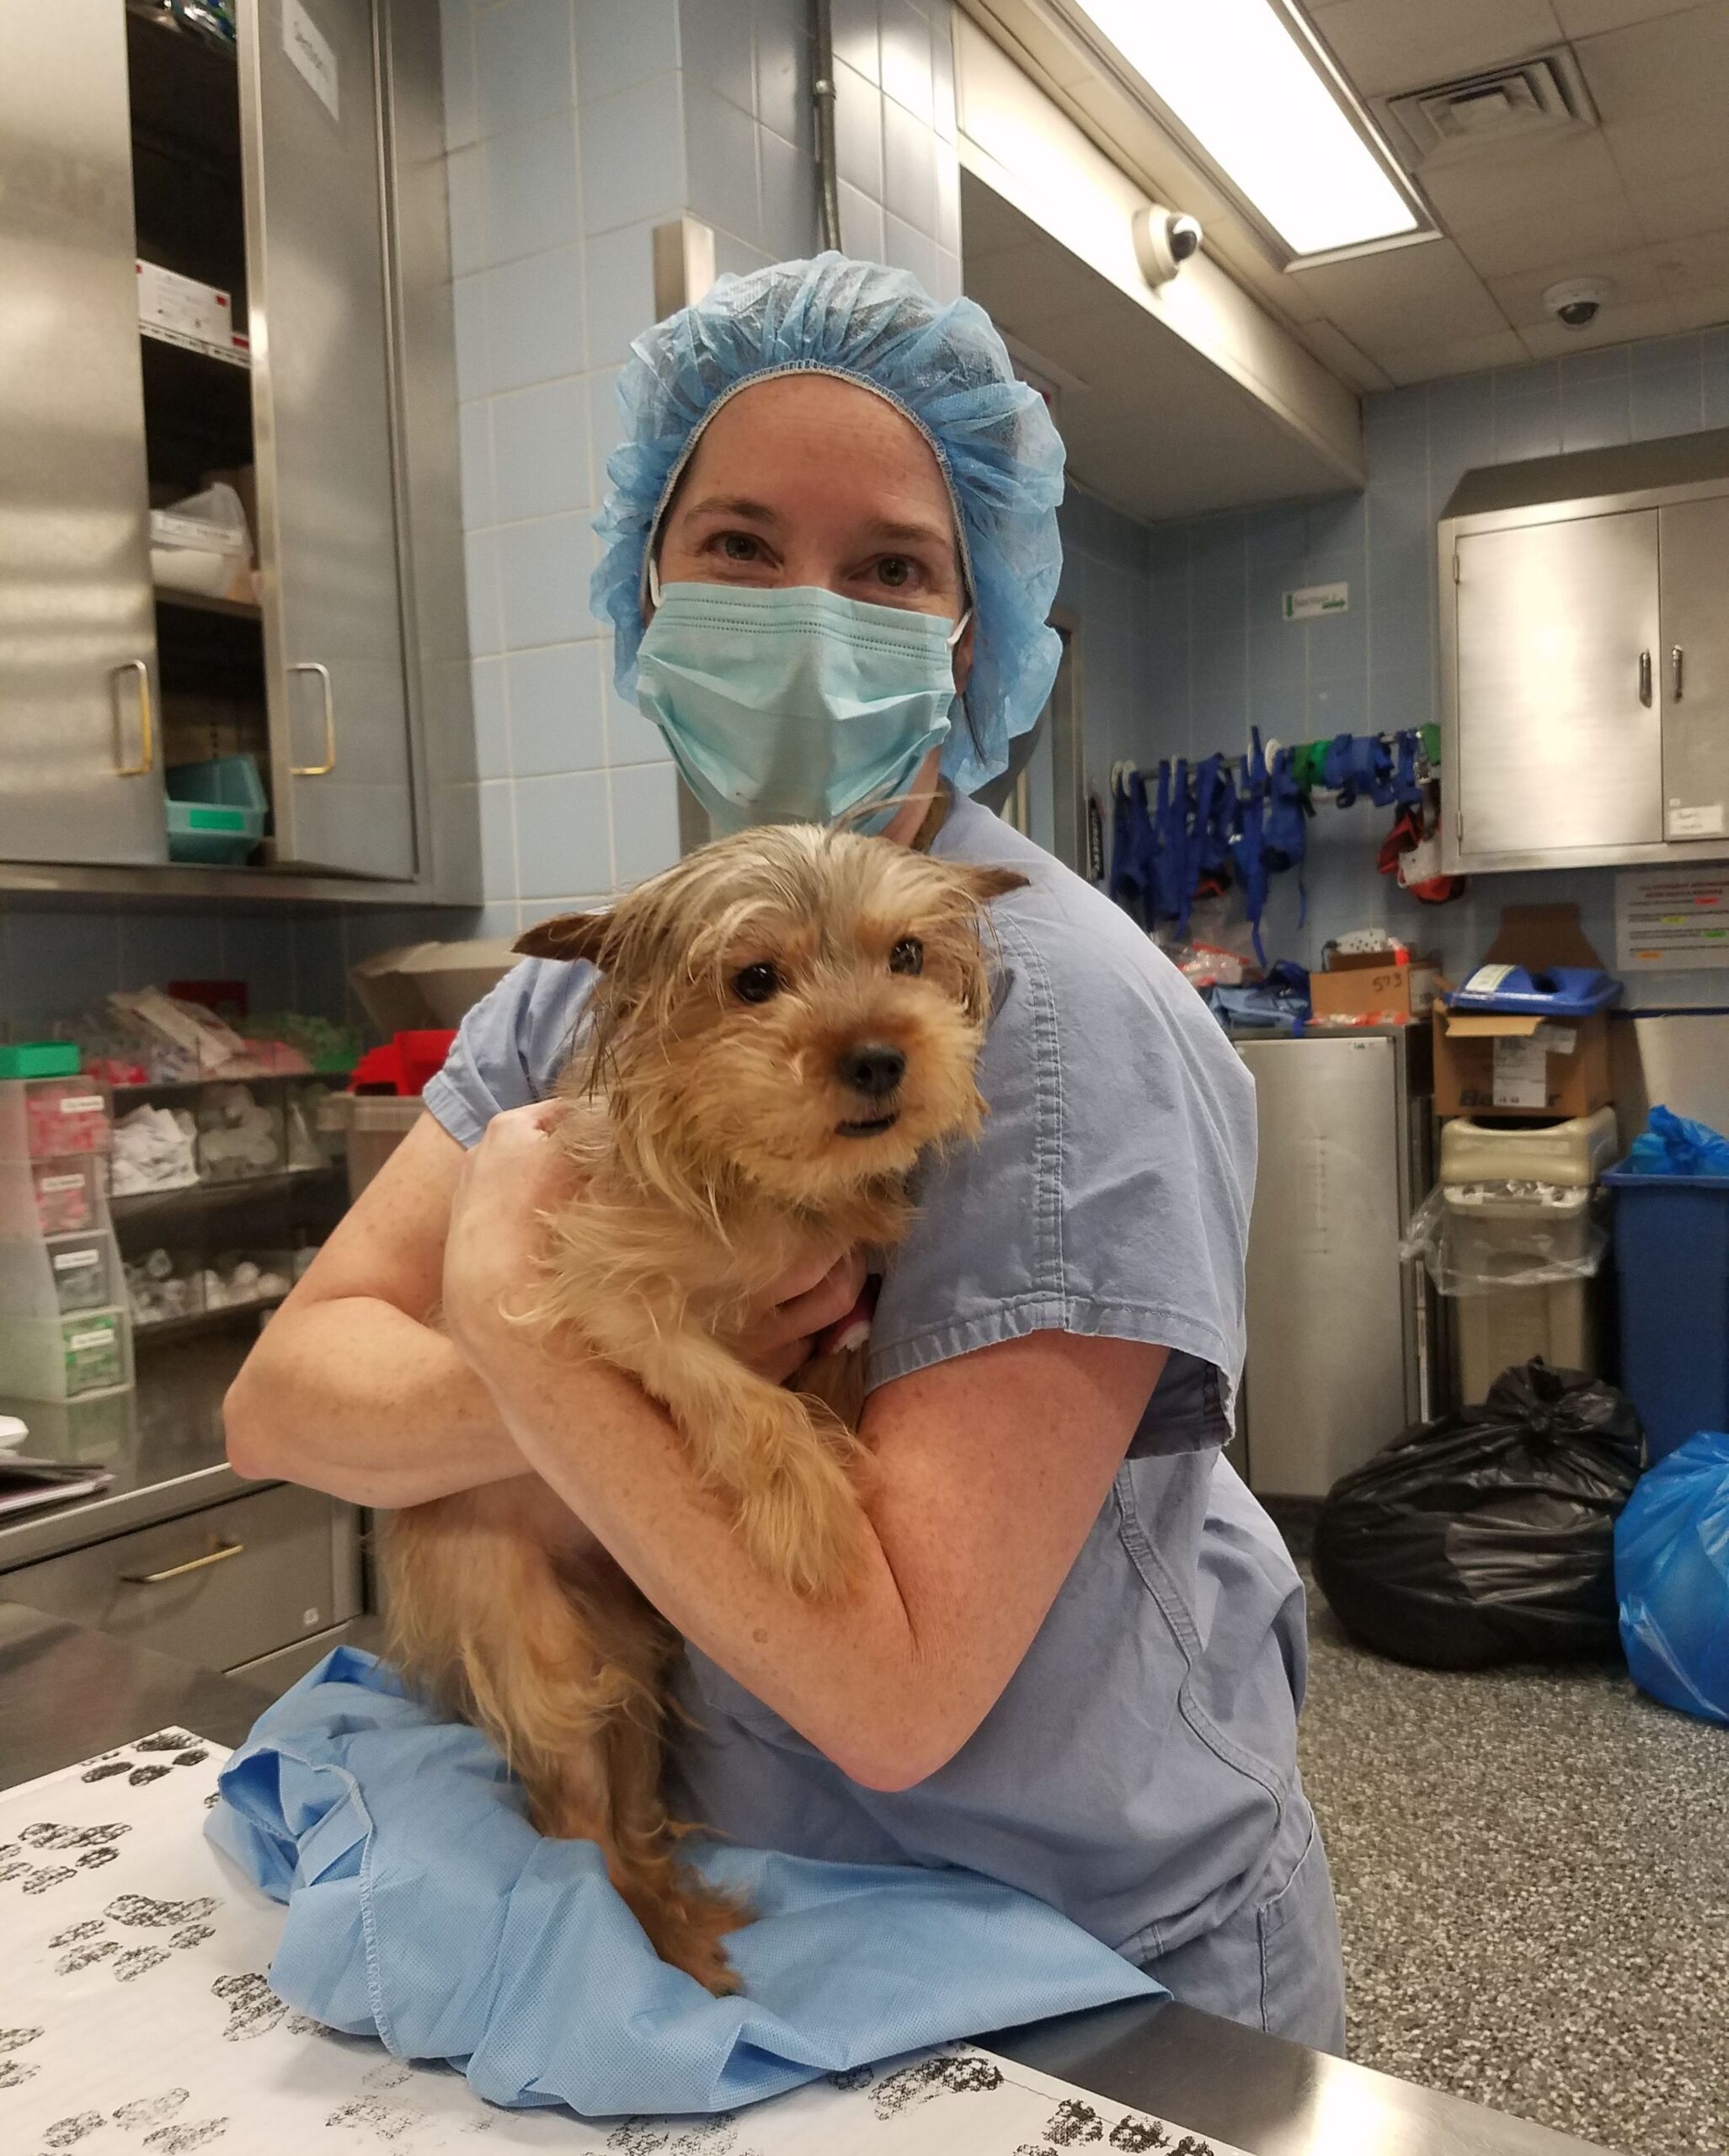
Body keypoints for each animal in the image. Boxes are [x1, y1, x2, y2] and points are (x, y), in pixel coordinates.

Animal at [383, 819, 1017, 1983]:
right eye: (754, 979)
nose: (879, 1056)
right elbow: (733, 1393)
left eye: (907, 955)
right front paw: (810, 1509)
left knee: (631, 1826)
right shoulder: (601, 1291)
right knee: (577, 1829)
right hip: (546, 1653)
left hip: (636, 1666)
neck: (756, 1181)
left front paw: (840, 1431)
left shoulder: (844, 1297)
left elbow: (837, 1363)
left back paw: (681, 1920)